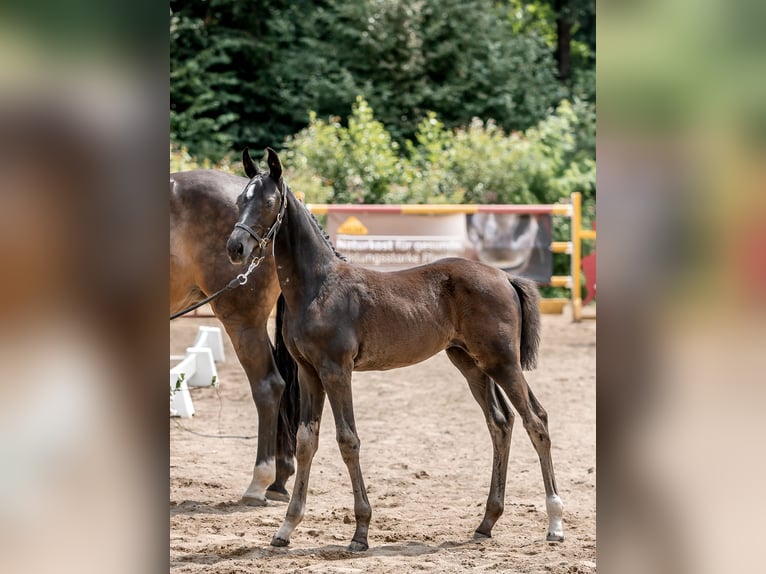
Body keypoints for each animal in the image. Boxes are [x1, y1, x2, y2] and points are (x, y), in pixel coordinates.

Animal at [225, 148, 568, 552]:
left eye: (267, 202)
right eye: (239, 200)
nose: (235, 247)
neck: (317, 287)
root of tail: (504, 277)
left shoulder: (336, 370)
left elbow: (348, 440)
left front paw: (360, 532)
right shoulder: (309, 372)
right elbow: (307, 441)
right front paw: (286, 528)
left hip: (503, 362)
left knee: (536, 420)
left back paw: (555, 523)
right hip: (470, 363)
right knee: (500, 423)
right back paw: (486, 523)